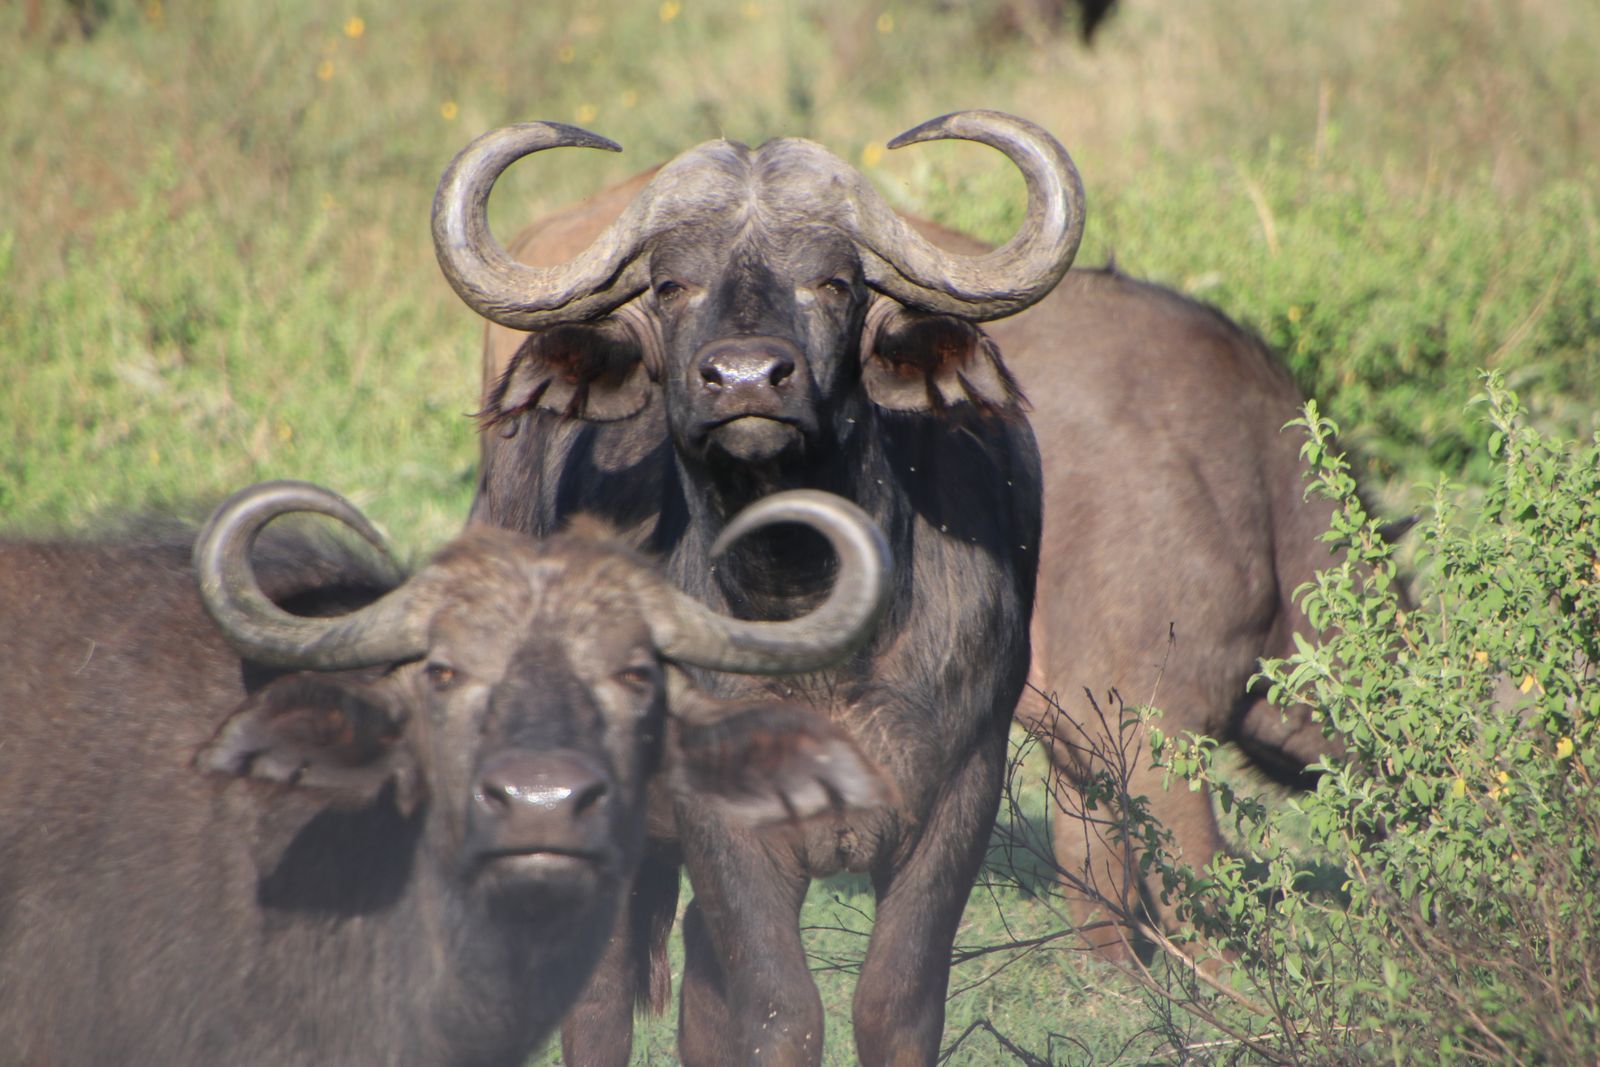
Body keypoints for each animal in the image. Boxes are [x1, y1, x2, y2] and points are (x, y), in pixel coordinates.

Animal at [438, 110, 1088, 1067]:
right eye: (672, 284)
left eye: (833, 281)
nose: (746, 379)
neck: (809, 606)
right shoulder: (722, 817)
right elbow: (782, 1009)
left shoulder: (959, 794)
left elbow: (893, 1001)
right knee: (598, 997)